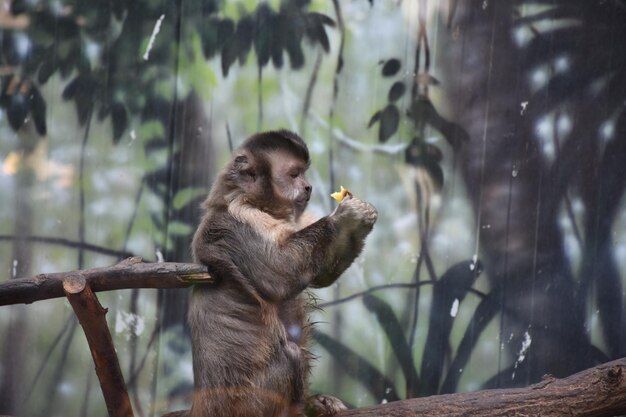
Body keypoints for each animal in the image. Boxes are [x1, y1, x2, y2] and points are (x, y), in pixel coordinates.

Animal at [183, 130, 372, 416]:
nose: (308, 187)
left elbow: (319, 276)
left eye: (304, 173)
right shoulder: (235, 223)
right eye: (294, 174)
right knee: (292, 353)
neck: (257, 206)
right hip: (249, 403)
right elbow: (280, 275)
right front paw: (346, 217)